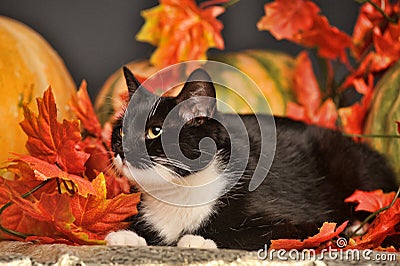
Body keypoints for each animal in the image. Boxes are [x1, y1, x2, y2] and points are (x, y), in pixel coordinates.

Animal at [104, 66, 398, 249]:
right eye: (120, 130)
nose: (121, 150)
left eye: (155, 131)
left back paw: (357, 227)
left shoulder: (298, 221)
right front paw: (127, 235)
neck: (179, 191)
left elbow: (254, 233)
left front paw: (199, 239)